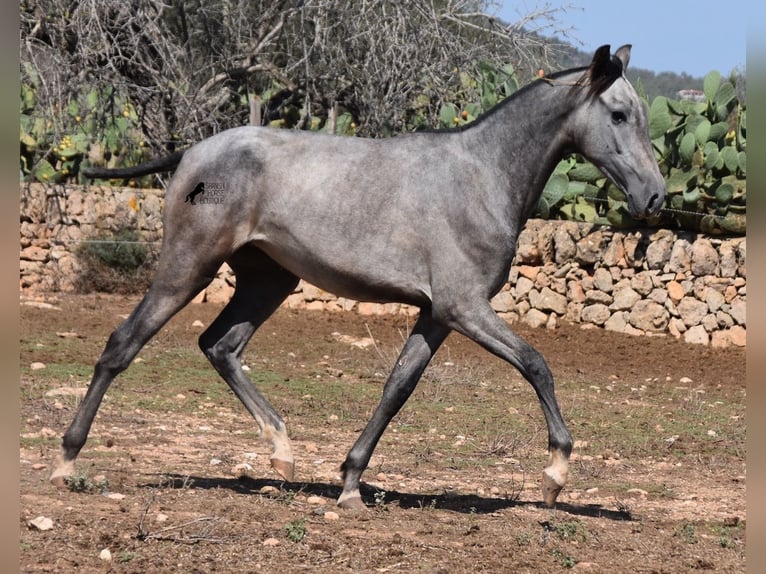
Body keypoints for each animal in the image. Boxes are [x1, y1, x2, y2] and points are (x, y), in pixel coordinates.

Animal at [52, 47, 664, 510]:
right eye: (618, 115)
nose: (655, 197)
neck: (482, 176)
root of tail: (193, 152)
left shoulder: (438, 314)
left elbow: (398, 388)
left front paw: (349, 484)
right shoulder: (465, 307)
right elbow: (537, 365)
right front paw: (555, 473)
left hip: (268, 280)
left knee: (219, 345)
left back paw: (282, 452)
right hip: (189, 266)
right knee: (123, 344)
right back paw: (66, 460)